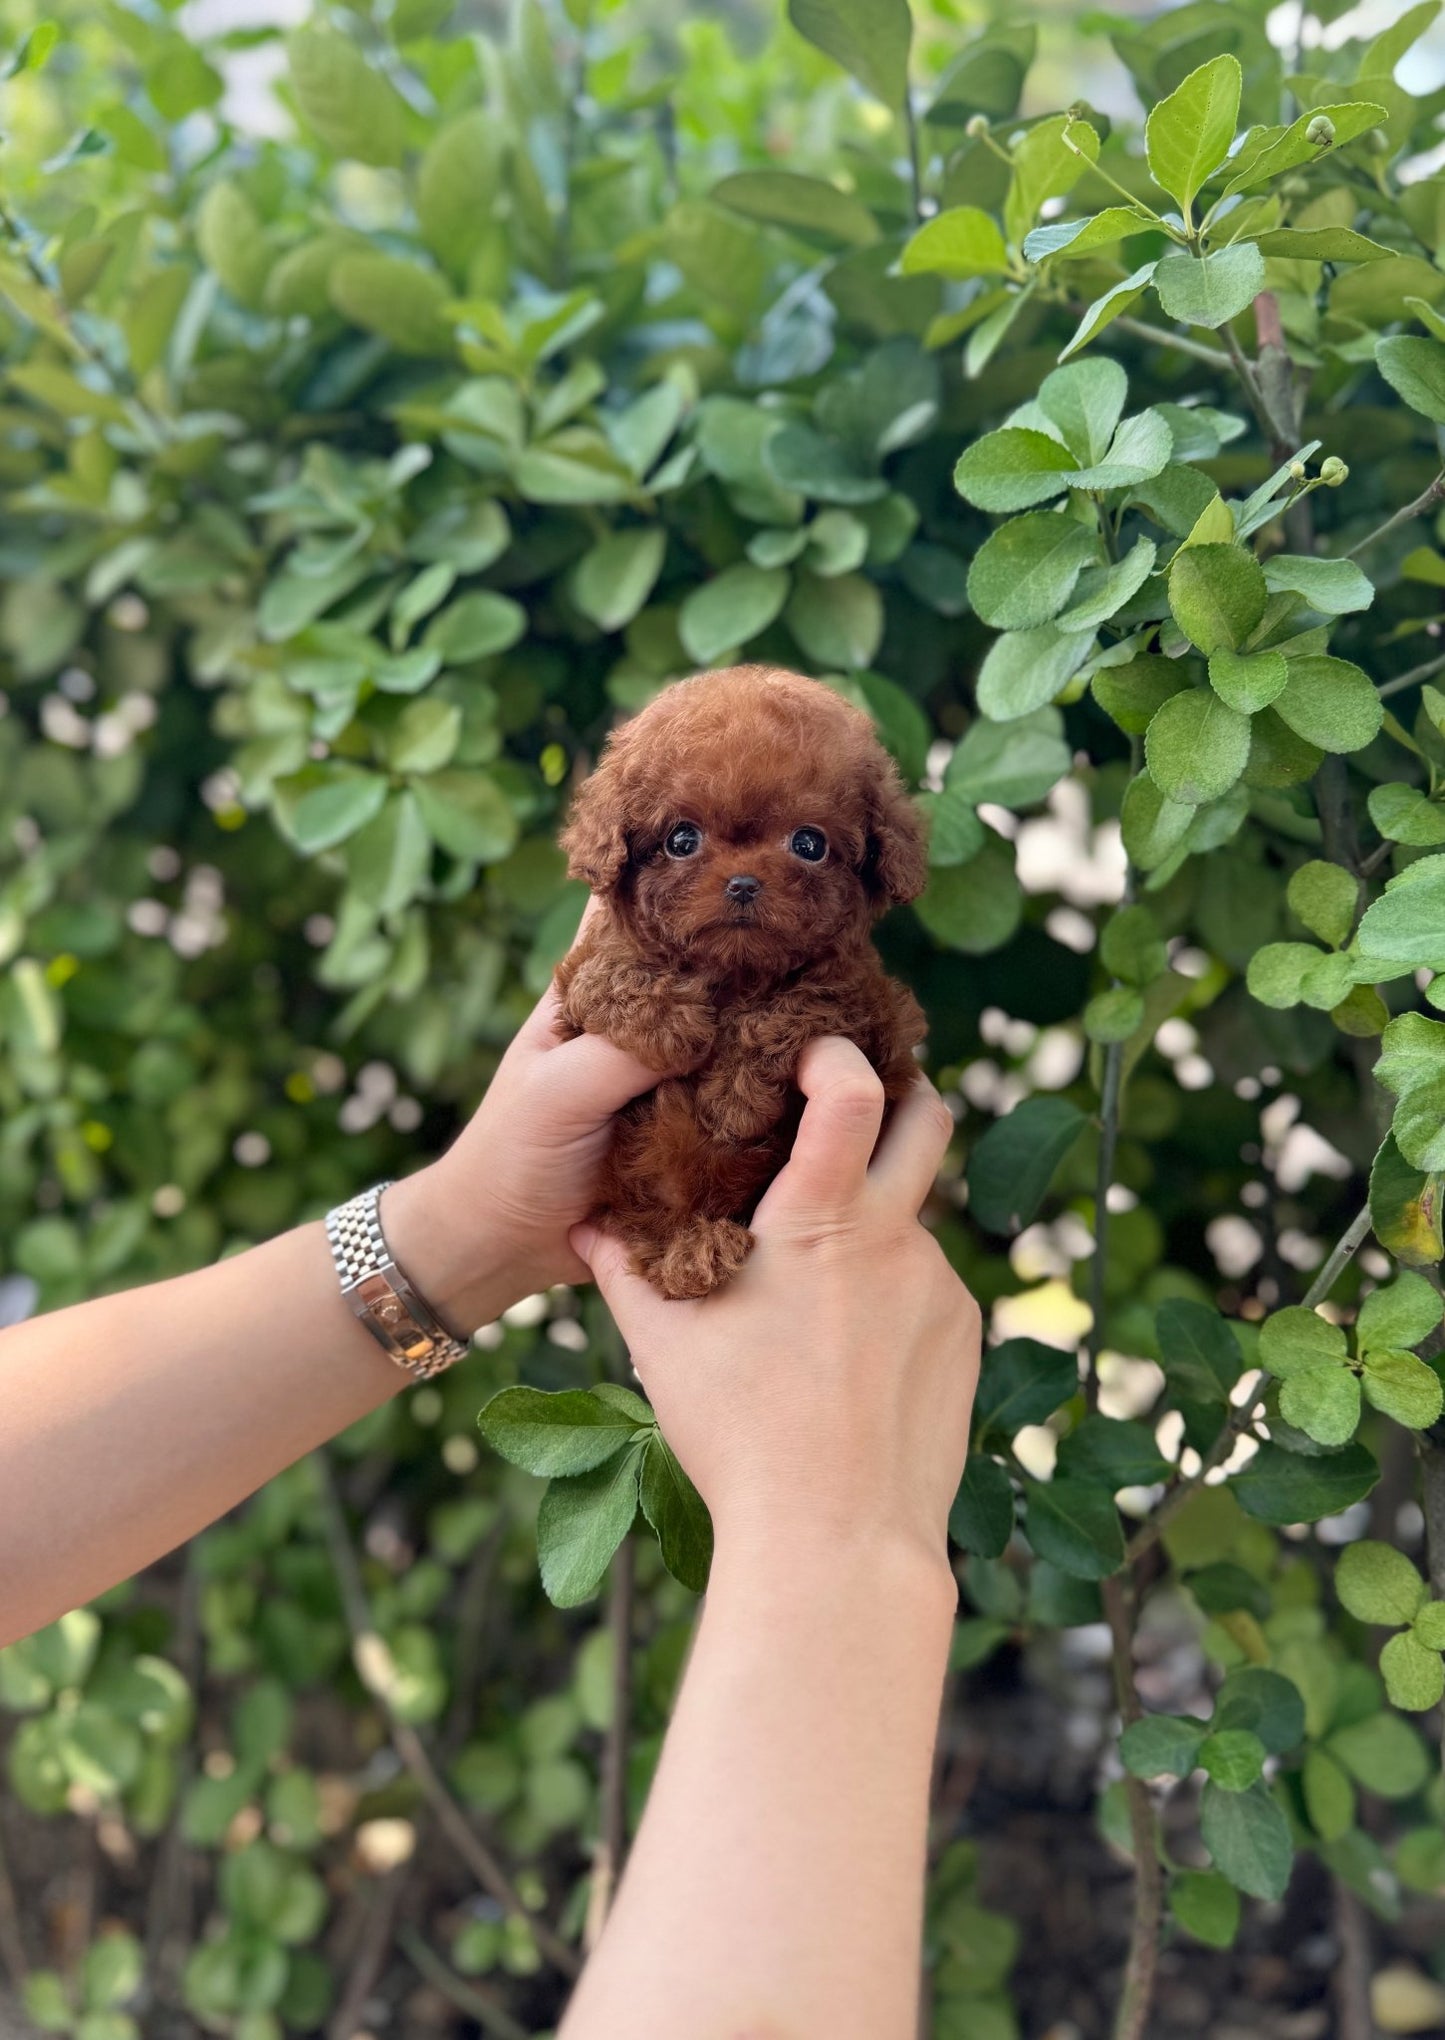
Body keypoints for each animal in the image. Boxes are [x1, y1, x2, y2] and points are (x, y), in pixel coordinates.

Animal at [555, 669, 926, 1305]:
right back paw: (691, 1253)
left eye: (809, 844)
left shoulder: (868, 1005)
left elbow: (794, 1008)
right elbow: (608, 973)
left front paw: (734, 1099)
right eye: (681, 840)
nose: (744, 884)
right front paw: (675, 1026)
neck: (735, 974)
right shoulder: (579, 986)